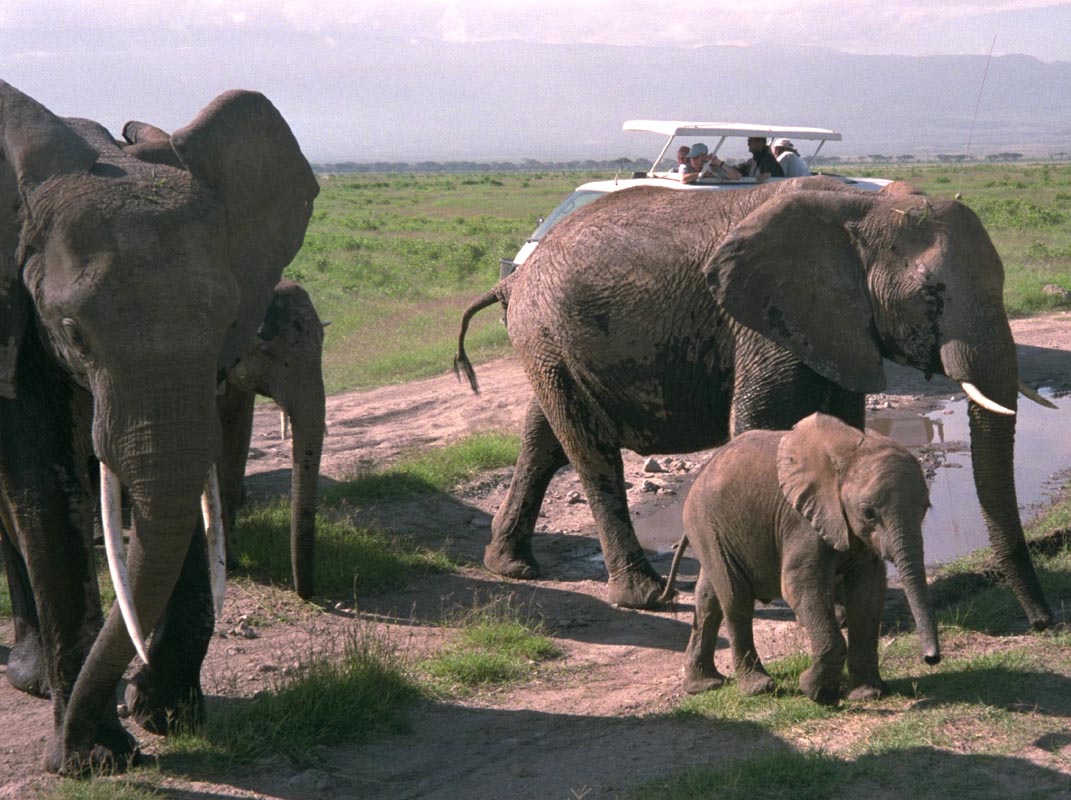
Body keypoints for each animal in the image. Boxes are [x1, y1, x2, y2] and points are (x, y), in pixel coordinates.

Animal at [672, 415, 942, 702]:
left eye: (925, 509)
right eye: (869, 513)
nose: (931, 659)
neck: (849, 454)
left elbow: (868, 593)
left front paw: (867, 694)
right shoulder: (801, 519)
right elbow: (798, 586)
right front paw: (816, 692)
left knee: (708, 599)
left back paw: (704, 685)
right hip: (706, 523)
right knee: (736, 598)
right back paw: (758, 688)